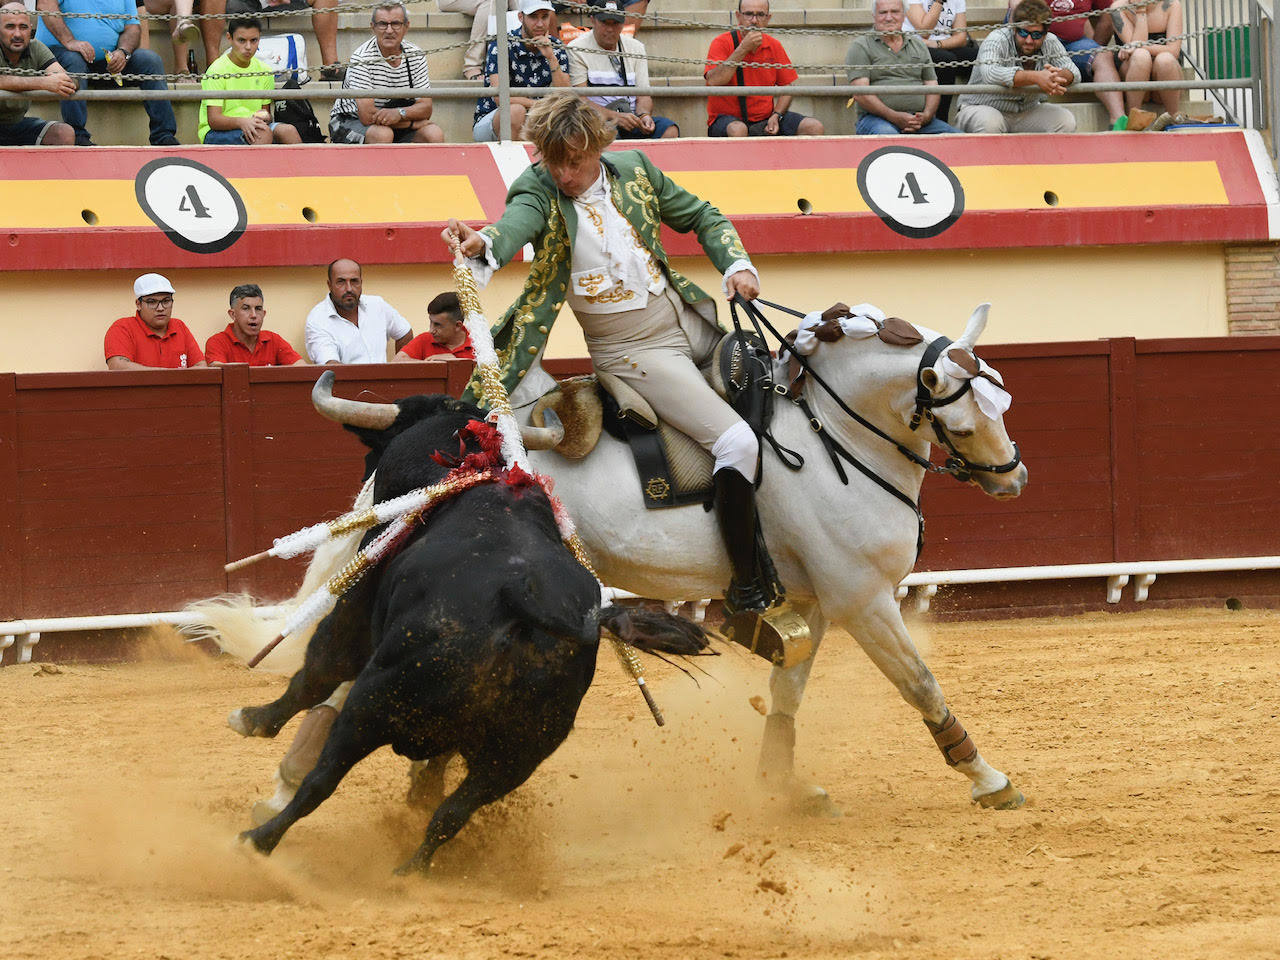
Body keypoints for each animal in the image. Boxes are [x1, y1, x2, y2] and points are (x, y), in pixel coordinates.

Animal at [238, 394, 711, 875]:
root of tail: (525, 605)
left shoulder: (357, 603)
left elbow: (316, 672)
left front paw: (254, 719)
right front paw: (422, 789)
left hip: (373, 702)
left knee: (323, 778)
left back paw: (258, 840)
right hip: (519, 753)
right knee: (452, 814)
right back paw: (411, 871)